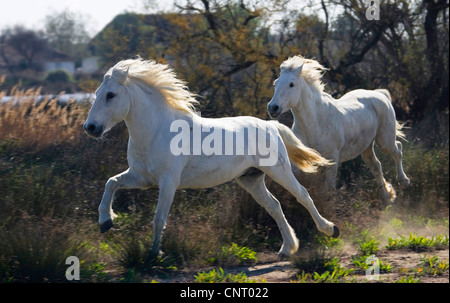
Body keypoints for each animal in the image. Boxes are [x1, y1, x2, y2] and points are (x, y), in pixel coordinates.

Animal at [84, 57, 340, 258]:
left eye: (110, 95)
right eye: (97, 94)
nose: (90, 128)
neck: (156, 130)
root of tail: (270, 125)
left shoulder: (168, 181)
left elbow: (159, 218)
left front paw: (154, 254)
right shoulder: (141, 178)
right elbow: (111, 183)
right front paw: (105, 222)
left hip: (279, 170)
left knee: (302, 195)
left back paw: (330, 230)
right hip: (250, 179)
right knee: (274, 206)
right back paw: (287, 248)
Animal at [268, 55, 410, 203]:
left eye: (291, 84)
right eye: (276, 83)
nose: (273, 108)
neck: (314, 123)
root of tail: (380, 94)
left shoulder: (332, 159)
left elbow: (329, 187)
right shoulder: (300, 157)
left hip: (384, 140)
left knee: (398, 149)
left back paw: (403, 181)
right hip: (366, 146)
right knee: (376, 166)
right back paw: (387, 196)